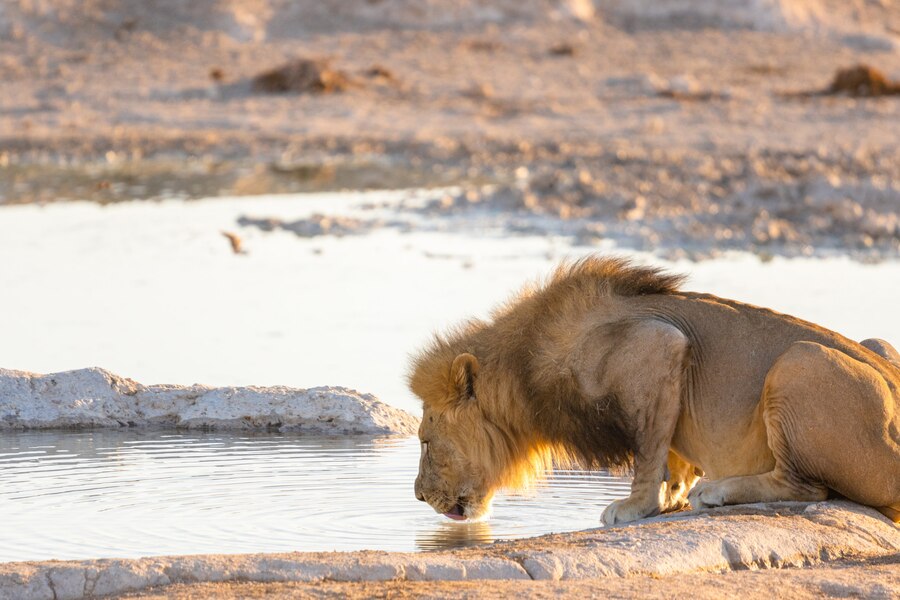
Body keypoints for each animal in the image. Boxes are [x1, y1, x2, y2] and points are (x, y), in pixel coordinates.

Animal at [408, 255, 900, 524]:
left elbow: (647, 451)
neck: (523, 370)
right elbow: (670, 450)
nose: (417, 495)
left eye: (427, 442)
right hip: (874, 342)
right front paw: (673, 494)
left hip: (797, 363)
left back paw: (718, 490)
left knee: (806, 487)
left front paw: (637, 505)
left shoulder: (659, 345)